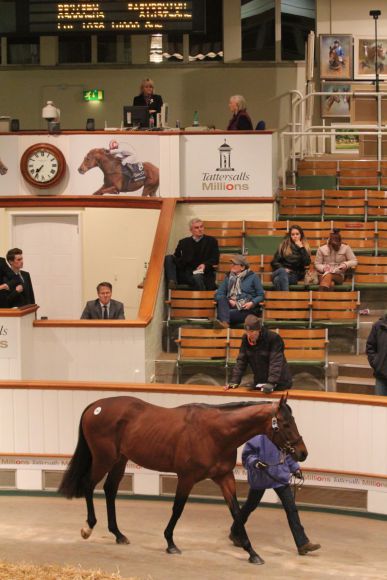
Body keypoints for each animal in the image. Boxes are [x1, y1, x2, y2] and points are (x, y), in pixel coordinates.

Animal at [59, 392, 308, 564]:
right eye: (286, 424)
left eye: (294, 421)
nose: (302, 453)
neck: (214, 433)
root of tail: (96, 406)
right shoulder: (186, 478)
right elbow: (177, 509)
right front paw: (170, 543)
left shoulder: (224, 477)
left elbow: (237, 512)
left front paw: (251, 551)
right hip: (104, 459)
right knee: (89, 485)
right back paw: (88, 527)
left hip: (120, 460)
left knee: (110, 489)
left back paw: (119, 534)